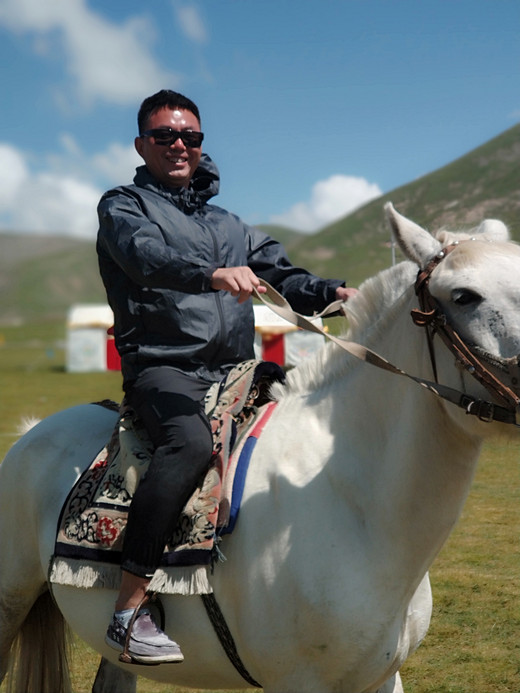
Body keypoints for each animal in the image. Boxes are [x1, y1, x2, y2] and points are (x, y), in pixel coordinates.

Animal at [1, 204, 520, 692]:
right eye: (464, 295)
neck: (355, 505)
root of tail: (30, 433)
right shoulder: (297, 681)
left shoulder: (383, 678)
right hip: (10, 602)